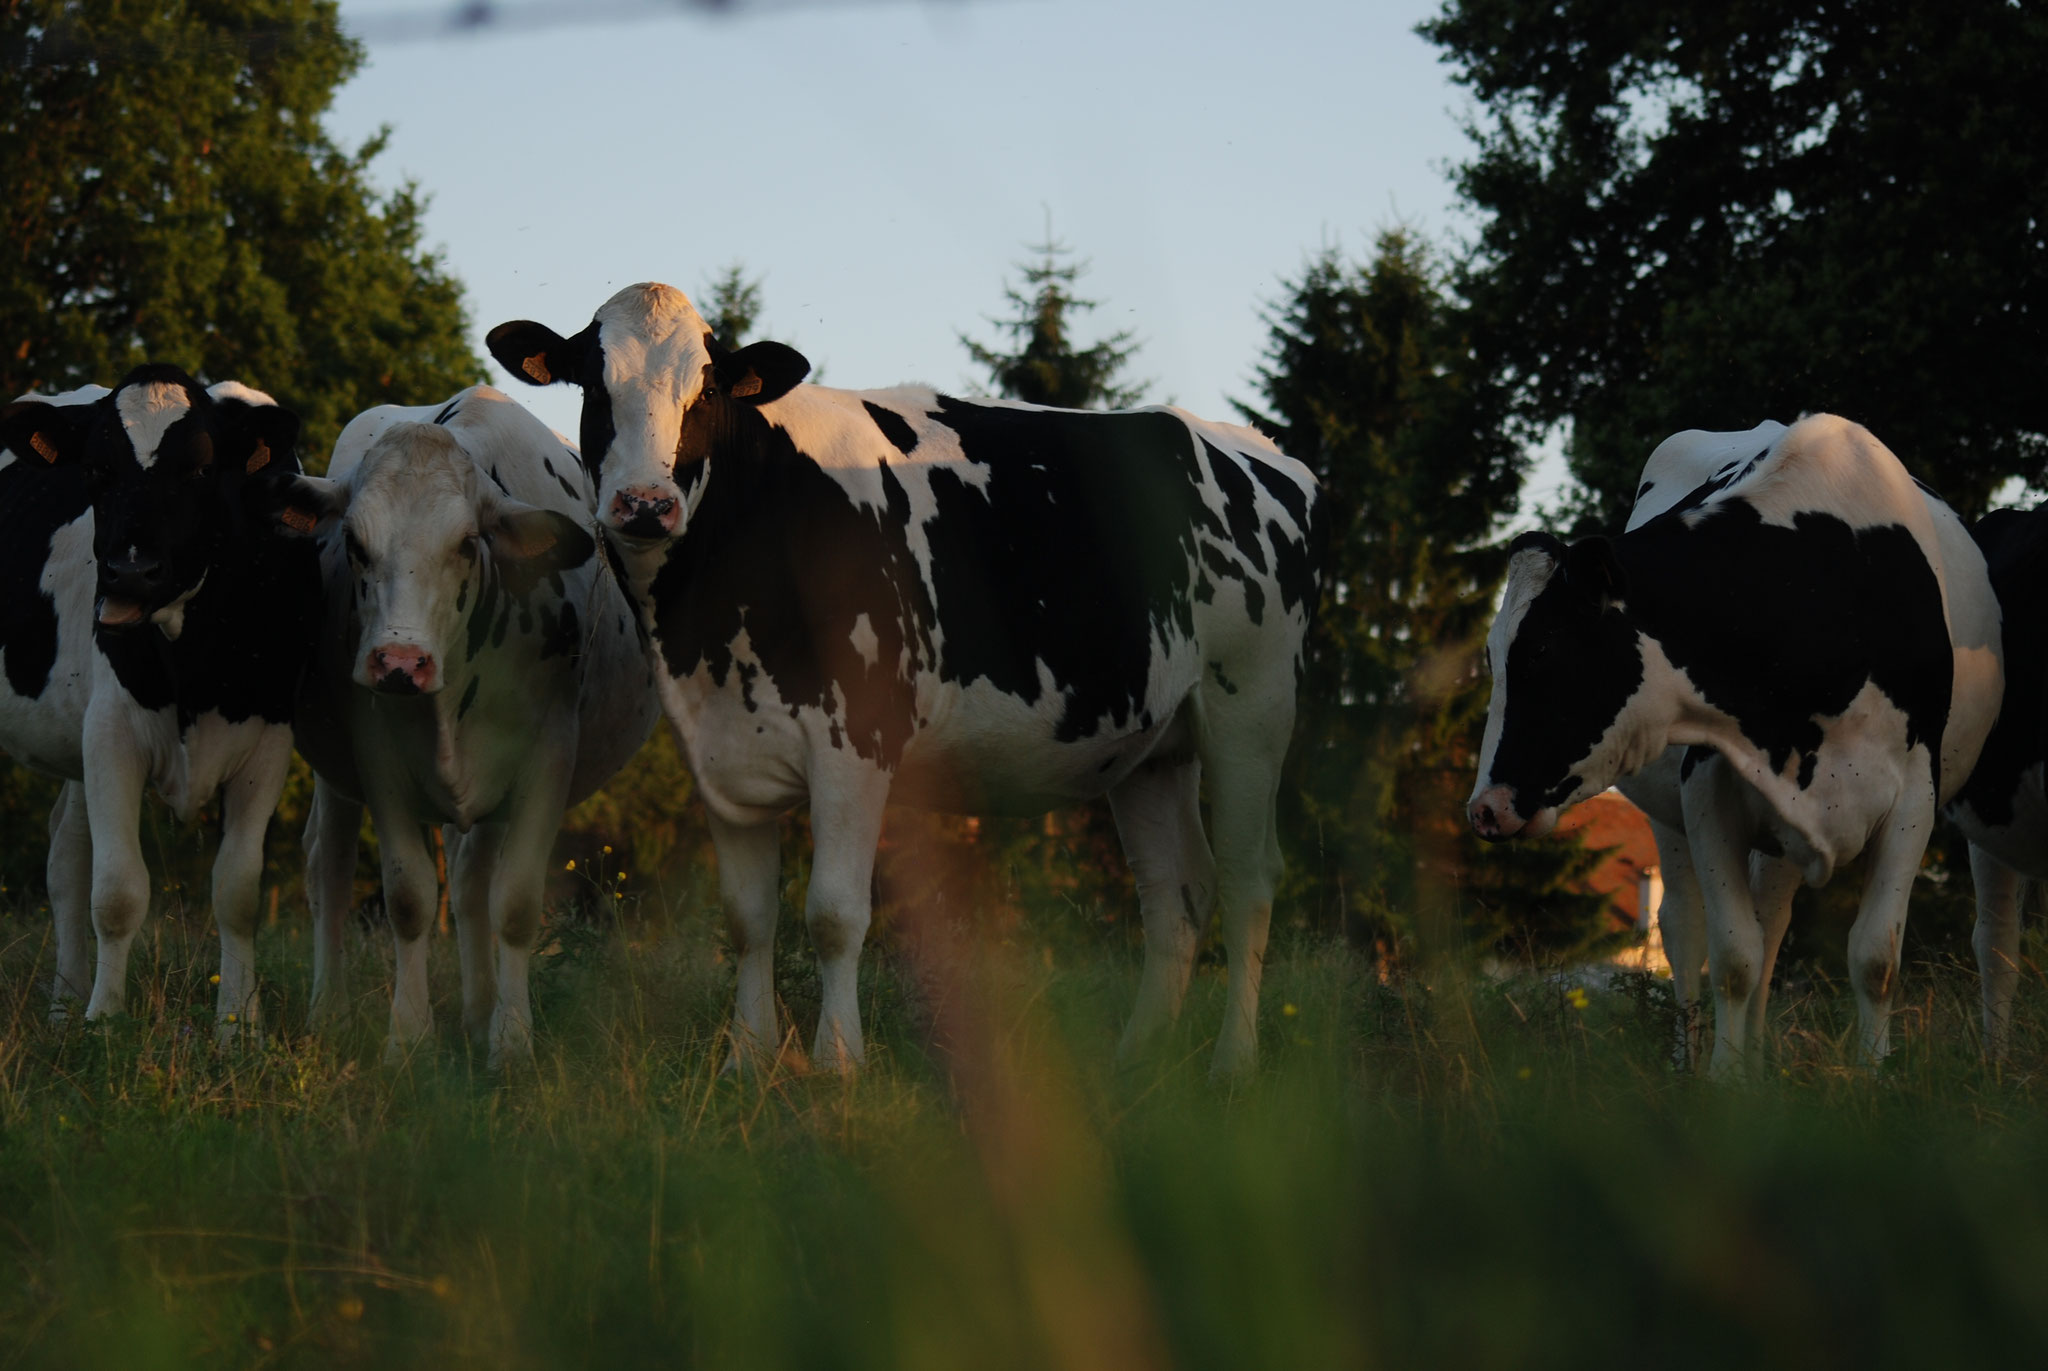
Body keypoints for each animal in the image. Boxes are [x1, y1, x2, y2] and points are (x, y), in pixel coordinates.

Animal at [0, 366, 317, 1032]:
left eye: (200, 469)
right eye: (97, 470)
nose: (127, 573)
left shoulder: (270, 742)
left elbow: (238, 892)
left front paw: (238, 1026)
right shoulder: (111, 735)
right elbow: (118, 890)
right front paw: (103, 1021)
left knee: (65, 855)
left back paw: (62, 1004)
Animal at [266, 384, 658, 1066]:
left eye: (467, 543)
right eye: (354, 543)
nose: (400, 661)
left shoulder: (548, 758)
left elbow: (515, 902)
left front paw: (510, 1039)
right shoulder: (378, 758)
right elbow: (410, 897)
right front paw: (407, 1038)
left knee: (472, 881)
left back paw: (478, 1015)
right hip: (336, 779)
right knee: (329, 866)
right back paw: (328, 1013)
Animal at [484, 282, 1320, 1077]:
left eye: (709, 389)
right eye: (593, 385)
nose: (645, 503)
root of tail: (1255, 449)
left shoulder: (858, 739)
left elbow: (834, 913)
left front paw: (837, 1062)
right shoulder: (719, 751)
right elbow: (748, 917)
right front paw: (746, 1059)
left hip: (1252, 705)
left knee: (1249, 877)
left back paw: (1232, 1063)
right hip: (1152, 740)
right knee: (1176, 892)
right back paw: (1137, 1058)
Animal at [1468, 414, 2002, 1076]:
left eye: (1541, 650)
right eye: (1491, 655)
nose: (1485, 809)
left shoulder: (1913, 798)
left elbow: (1875, 957)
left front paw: (1873, 1078)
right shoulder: (1706, 789)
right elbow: (1731, 957)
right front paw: (1724, 1084)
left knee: (1772, 924)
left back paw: (1758, 1062)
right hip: (1672, 815)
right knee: (1683, 929)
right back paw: (1694, 1062)